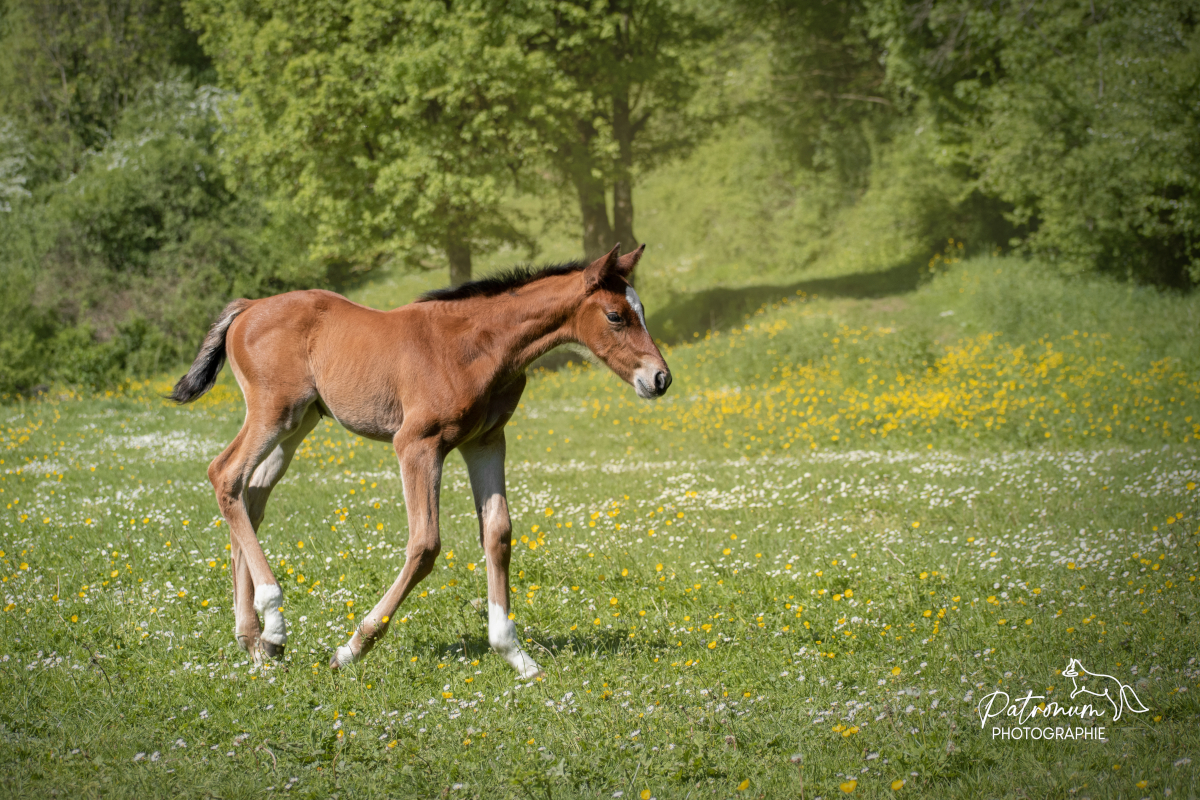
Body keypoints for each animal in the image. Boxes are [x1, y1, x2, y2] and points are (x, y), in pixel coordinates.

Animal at [170, 244, 672, 676]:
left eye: (642, 312)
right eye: (615, 315)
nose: (660, 378)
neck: (477, 346)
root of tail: (249, 306)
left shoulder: (486, 441)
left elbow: (498, 533)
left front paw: (514, 654)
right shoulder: (416, 444)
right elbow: (425, 543)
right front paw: (353, 647)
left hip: (299, 423)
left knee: (250, 495)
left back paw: (257, 642)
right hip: (274, 412)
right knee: (224, 475)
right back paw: (273, 619)